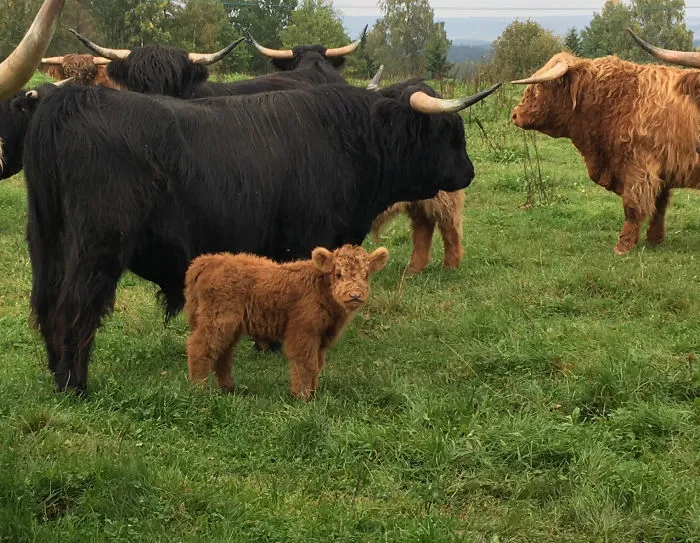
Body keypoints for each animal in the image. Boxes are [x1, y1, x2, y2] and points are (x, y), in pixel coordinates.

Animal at [185, 245, 388, 400]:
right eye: (338, 274)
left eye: (366, 275)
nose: (355, 295)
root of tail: (207, 261)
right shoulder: (303, 333)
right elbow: (305, 364)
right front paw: (302, 396)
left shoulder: (322, 338)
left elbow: (317, 364)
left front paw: (314, 392)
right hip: (217, 322)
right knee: (200, 348)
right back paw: (199, 388)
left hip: (230, 327)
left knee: (223, 354)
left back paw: (228, 388)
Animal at [511, 52, 700, 254]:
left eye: (540, 86)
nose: (515, 114)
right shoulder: (660, 172)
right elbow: (658, 207)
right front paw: (654, 240)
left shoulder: (639, 167)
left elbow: (633, 207)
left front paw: (623, 246)